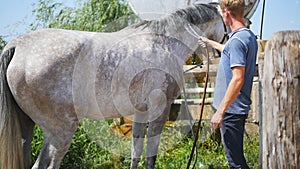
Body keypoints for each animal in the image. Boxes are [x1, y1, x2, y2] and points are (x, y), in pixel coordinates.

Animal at [0, 2, 225, 169]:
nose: (220, 53)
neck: (164, 44)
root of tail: (17, 46)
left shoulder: (140, 111)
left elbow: (136, 150)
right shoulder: (160, 109)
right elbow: (151, 154)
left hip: (27, 130)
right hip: (60, 132)